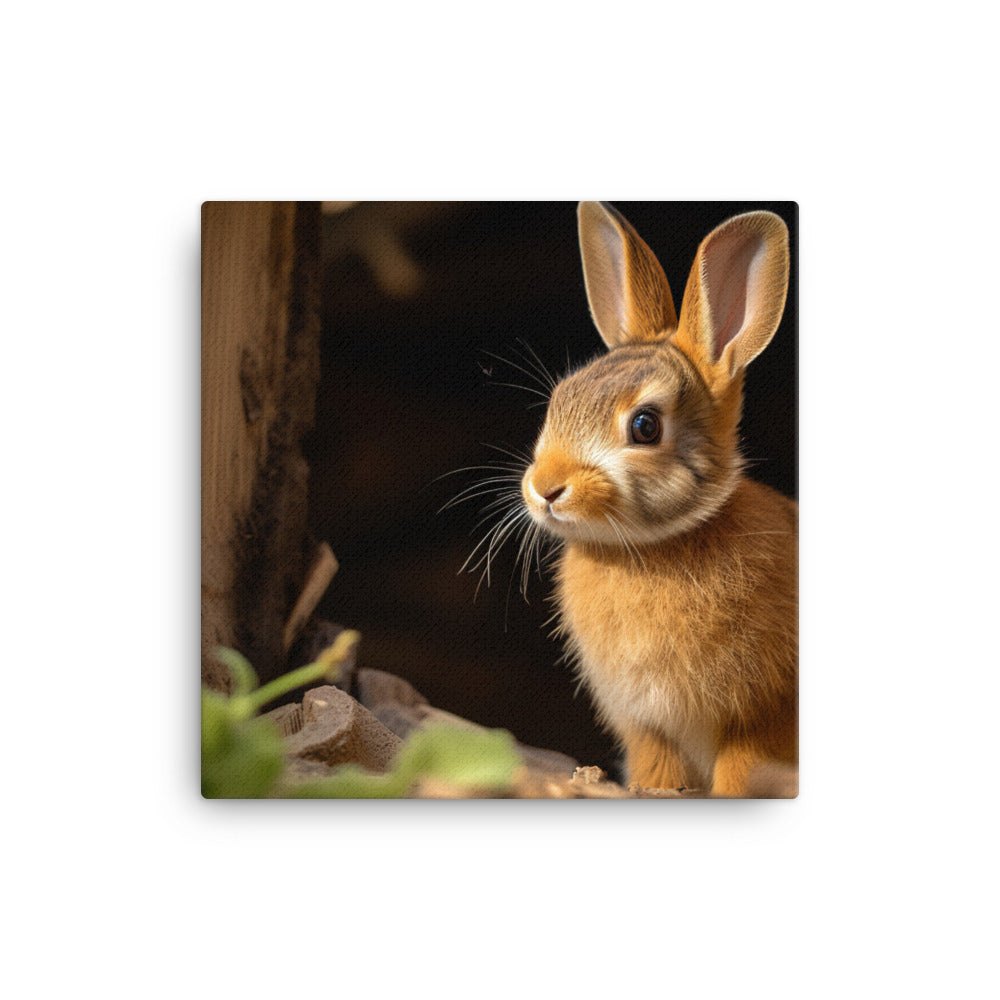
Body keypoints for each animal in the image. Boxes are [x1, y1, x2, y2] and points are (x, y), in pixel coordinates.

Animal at [520, 202, 797, 797]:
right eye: (560, 399)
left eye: (645, 426)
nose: (545, 488)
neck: (653, 547)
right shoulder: (649, 727)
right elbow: (657, 770)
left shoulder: (762, 717)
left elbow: (743, 769)